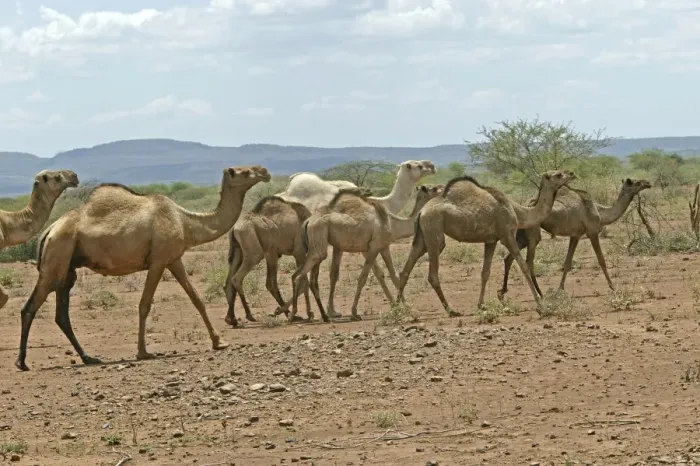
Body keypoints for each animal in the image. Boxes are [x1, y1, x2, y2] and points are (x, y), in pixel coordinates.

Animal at [14, 166, 271, 371]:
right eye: (244, 172)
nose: (265, 171)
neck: (185, 222)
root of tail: (48, 231)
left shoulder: (173, 258)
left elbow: (196, 298)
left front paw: (219, 342)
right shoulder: (158, 261)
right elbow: (145, 304)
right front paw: (143, 352)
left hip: (67, 269)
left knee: (61, 314)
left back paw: (89, 358)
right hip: (55, 258)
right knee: (30, 308)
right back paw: (22, 362)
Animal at [223, 195, 328, 327]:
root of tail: (234, 229)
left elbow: (302, 282)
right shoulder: (299, 252)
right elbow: (304, 281)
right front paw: (310, 314)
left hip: (240, 252)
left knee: (228, 283)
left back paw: (231, 318)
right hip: (258, 253)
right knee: (241, 279)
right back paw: (251, 315)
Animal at [290, 184, 444, 322]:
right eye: (434, 188)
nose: (443, 190)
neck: (391, 223)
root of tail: (308, 221)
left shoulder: (384, 246)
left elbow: (393, 275)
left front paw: (403, 306)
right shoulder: (373, 248)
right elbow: (363, 278)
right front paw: (354, 313)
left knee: (304, 276)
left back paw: (312, 315)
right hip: (319, 243)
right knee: (302, 275)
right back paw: (300, 315)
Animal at [396, 170, 576, 316]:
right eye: (558, 174)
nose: (572, 173)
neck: (518, 210)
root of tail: (421, 212)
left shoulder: (491, 241)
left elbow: (485, 273)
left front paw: (481, 305)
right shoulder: (507, 235)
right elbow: (523, 266)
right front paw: (540, 305)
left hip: (422, 237)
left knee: (405, 270)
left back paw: (398, 308)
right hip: (434, 231)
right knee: (432, 273)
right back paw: (451, 310)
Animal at [498, 178, 652, 299]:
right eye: (636, 182)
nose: (648, 183)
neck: (600, 211)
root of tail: (522, 206)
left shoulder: (576, 235)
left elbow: (567, 263)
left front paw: (560, 290)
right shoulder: (592, 232)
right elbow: (601, 260)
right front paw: (613, 287)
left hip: (521, 234)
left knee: (509, 257)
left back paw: (503, 292)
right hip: (533, 233)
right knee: (529, 261)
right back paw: (540, 294)